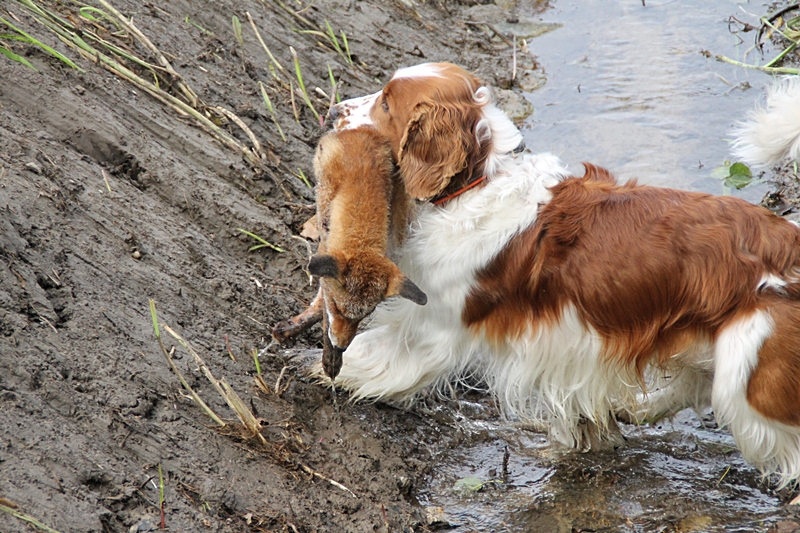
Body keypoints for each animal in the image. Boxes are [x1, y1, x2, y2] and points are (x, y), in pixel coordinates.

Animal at [272, 127, 428, 380]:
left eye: (365, 316)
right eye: (338, 308)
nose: (341, 346)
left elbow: (321, 307)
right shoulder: (325, 247)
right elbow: (324, 308)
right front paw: (327, 357)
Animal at [310, 62, 800, 486]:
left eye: (386, 103)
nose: (332, 111)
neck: (480, 182)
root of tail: (789, 243)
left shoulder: (432, 329)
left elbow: (373, 354)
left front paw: (315, 365)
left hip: (748, 378)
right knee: (690, 387)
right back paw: (630, 410)